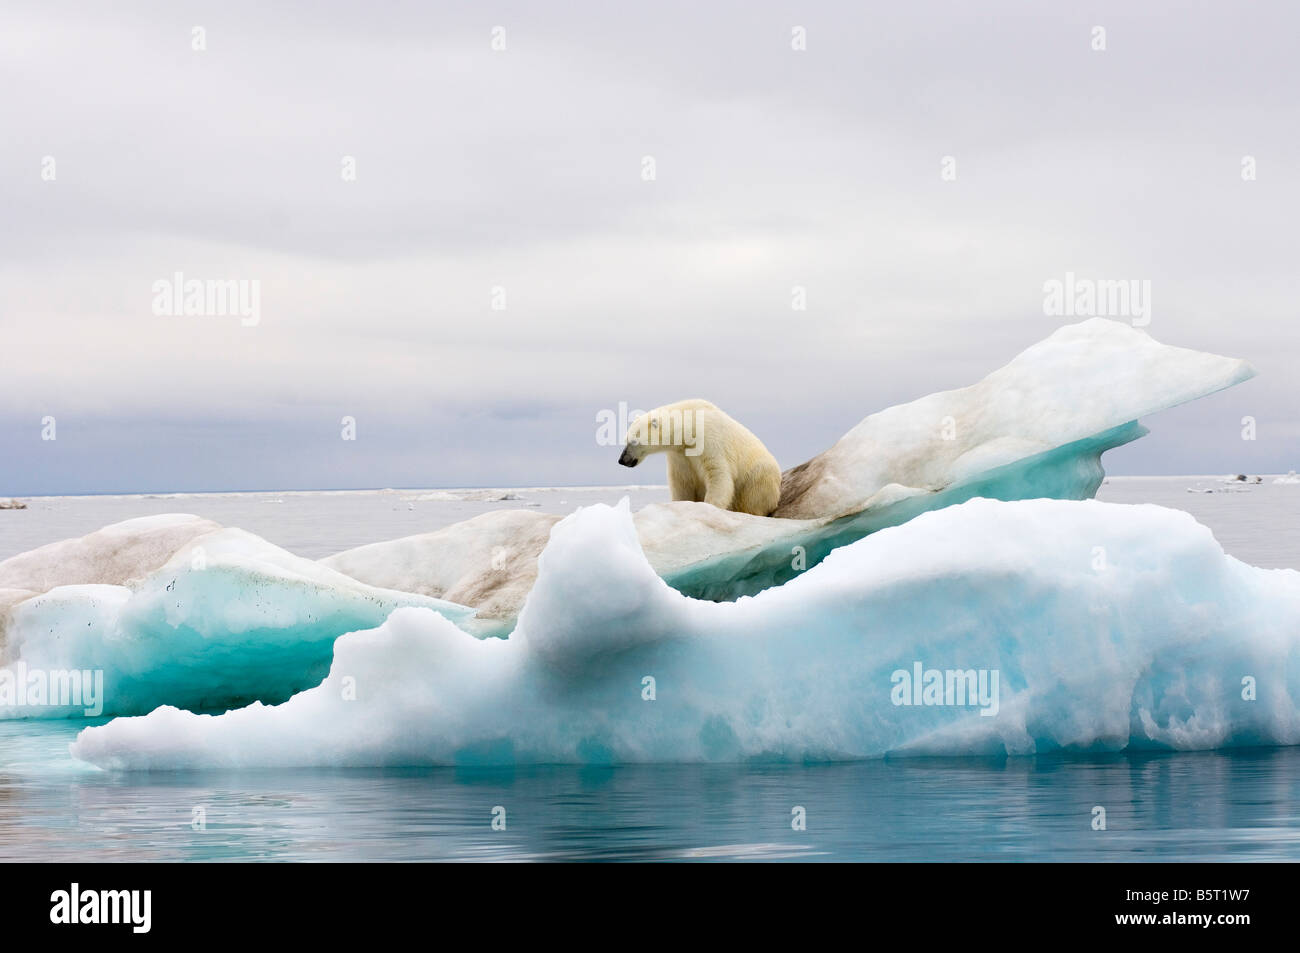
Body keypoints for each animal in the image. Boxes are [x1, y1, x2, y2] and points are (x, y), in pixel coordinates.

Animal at [617, 399, 782, 517]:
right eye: (625, 440)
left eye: (633, 441)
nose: (622, 460)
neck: (690, 426)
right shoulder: (680, 455)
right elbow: (682, 481)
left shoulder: (709, 440)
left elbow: (718, 475)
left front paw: (710, 506)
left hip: (758, 475)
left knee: (753, 495)